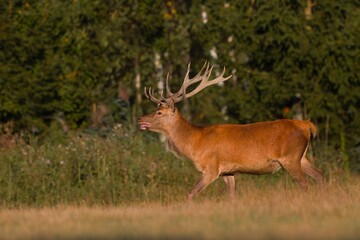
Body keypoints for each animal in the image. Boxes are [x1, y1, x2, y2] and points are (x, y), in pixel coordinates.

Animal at [137, 62, 324, 201]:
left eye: (159, 112)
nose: (140, 119)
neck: (195, 142)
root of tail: (306, 125)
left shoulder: (211, 168)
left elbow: (190, 193)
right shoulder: (228, 171)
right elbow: (232, 197)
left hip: (290, 158)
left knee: (304, 183)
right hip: (301, 157)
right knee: (320, 175)